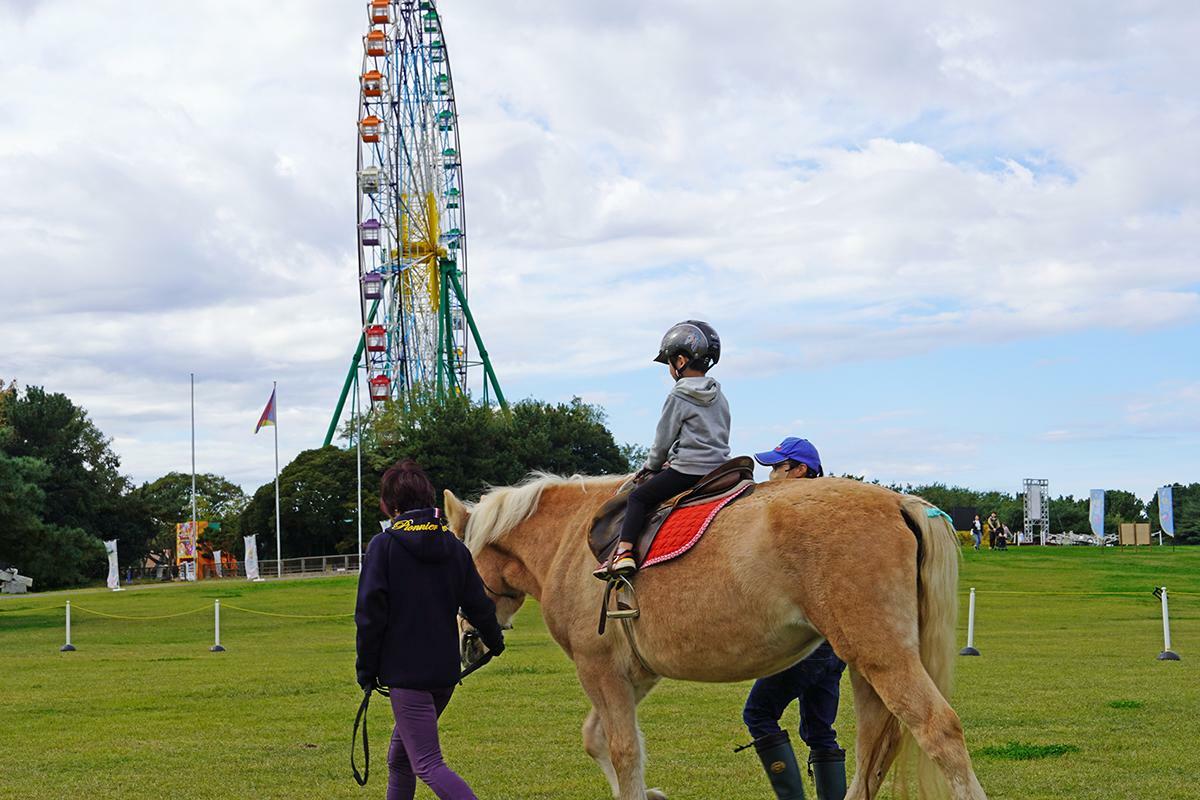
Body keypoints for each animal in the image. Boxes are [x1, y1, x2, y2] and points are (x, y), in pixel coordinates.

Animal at [446, 474, 988, 800]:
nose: (467, 640)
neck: (571, 539)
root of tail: (899, 502)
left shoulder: (599, 668)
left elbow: (622, 749)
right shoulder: (632, 674)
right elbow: (597, 739)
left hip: (883, 658)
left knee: (938, 730)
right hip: (864, 663)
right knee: (873, 744)